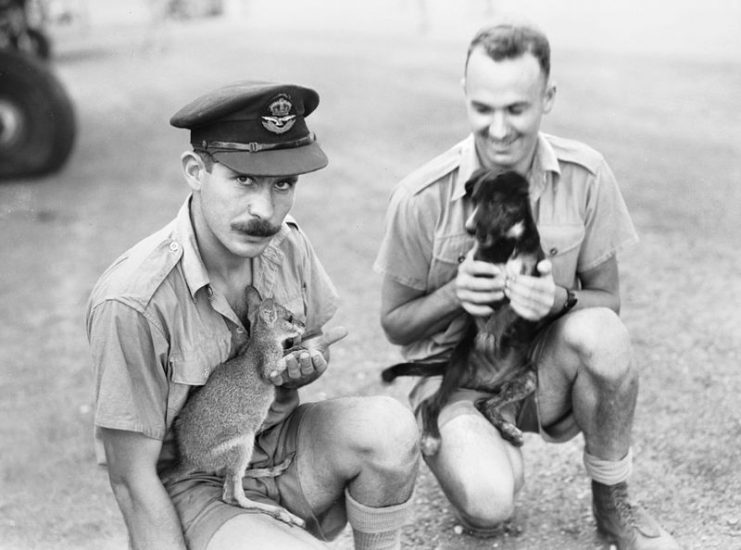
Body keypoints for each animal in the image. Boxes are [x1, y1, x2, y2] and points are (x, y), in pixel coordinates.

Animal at [382, 170, 544, 460]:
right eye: (475, 200)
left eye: (495, 200)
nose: (469, 228)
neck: (509, 242)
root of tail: (487, 380)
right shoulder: (480, 275)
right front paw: (488, 330)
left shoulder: (529, 282)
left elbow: (508, 308)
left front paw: (492, 331)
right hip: (457, 369)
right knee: (432, 404)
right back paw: (431, 439)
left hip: (527, 378)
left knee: (485, 404)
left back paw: (508, 430)